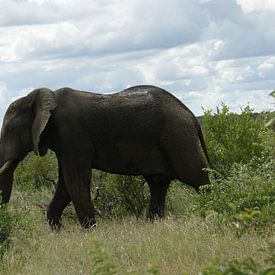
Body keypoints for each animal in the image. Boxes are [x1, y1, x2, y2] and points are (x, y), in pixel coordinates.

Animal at [0, 85, 212, 230]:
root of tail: (191, 116)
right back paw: (153, 225)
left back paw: (214, 211)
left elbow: (75, 181)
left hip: (178, 138)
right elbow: (65, 184)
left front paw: (90, 232)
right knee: (158, 184)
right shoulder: (64, 145)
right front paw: (57, 231)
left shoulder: (73, 137)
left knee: (198, 177)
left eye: (10, 130)